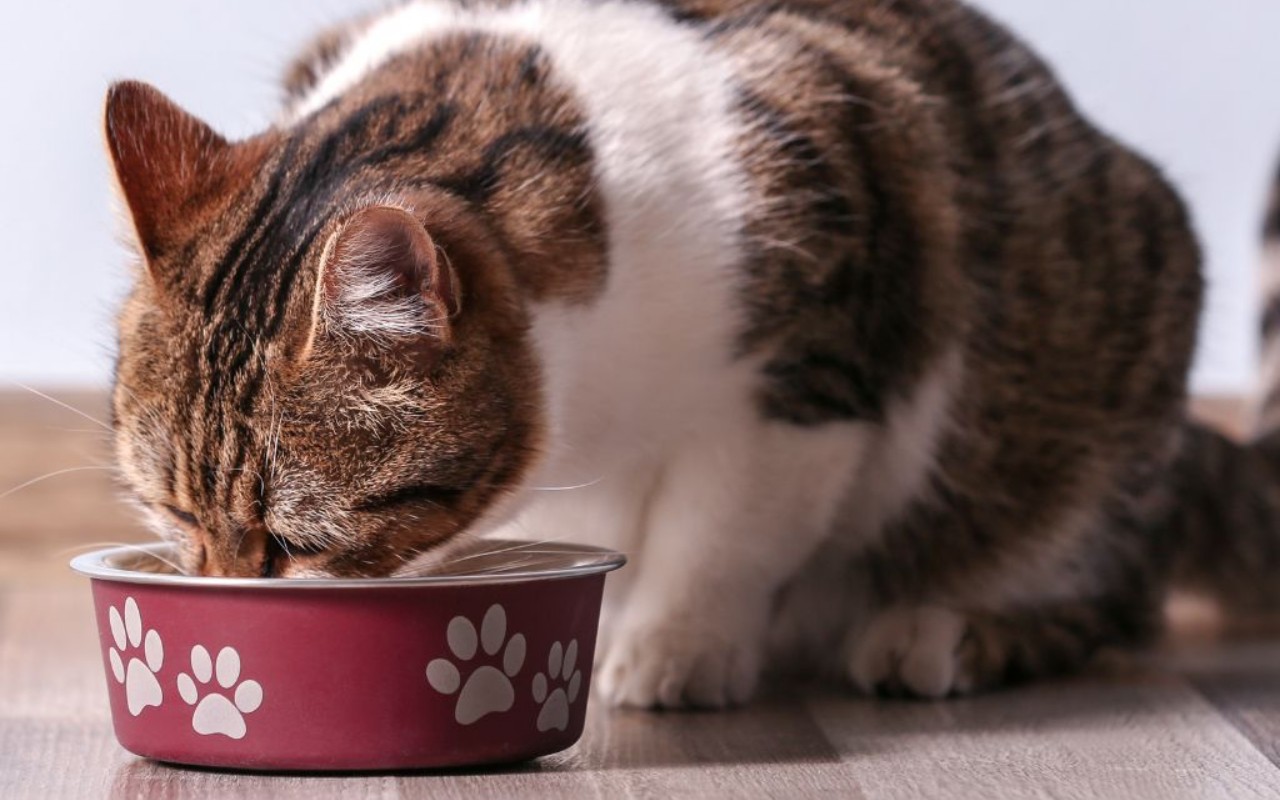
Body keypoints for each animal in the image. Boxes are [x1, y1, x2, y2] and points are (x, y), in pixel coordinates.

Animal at [104, 0, 1280, 711]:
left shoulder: (809, 364)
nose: (222, 602)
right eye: (170, 514)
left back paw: (939, 632)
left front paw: (673, 648)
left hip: (1088, 387)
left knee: (1109, 593)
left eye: (299, 542)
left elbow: (724, 530)